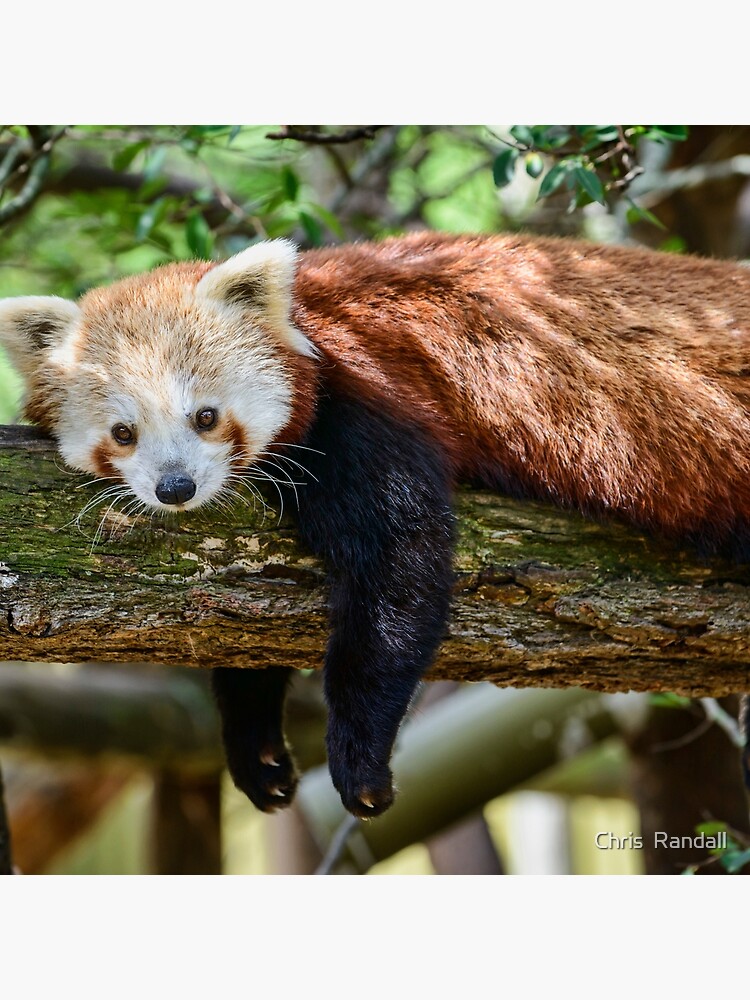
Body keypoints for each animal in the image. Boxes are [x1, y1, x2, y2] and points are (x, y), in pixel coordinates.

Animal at [1, 230, 750, 816]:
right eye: (124, 433)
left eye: (204, 416)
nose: (176, 487)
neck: (307, 318)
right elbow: (237, 624)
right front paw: (255, 745)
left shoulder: (366, 398)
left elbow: (399, 565)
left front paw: (360, 762)